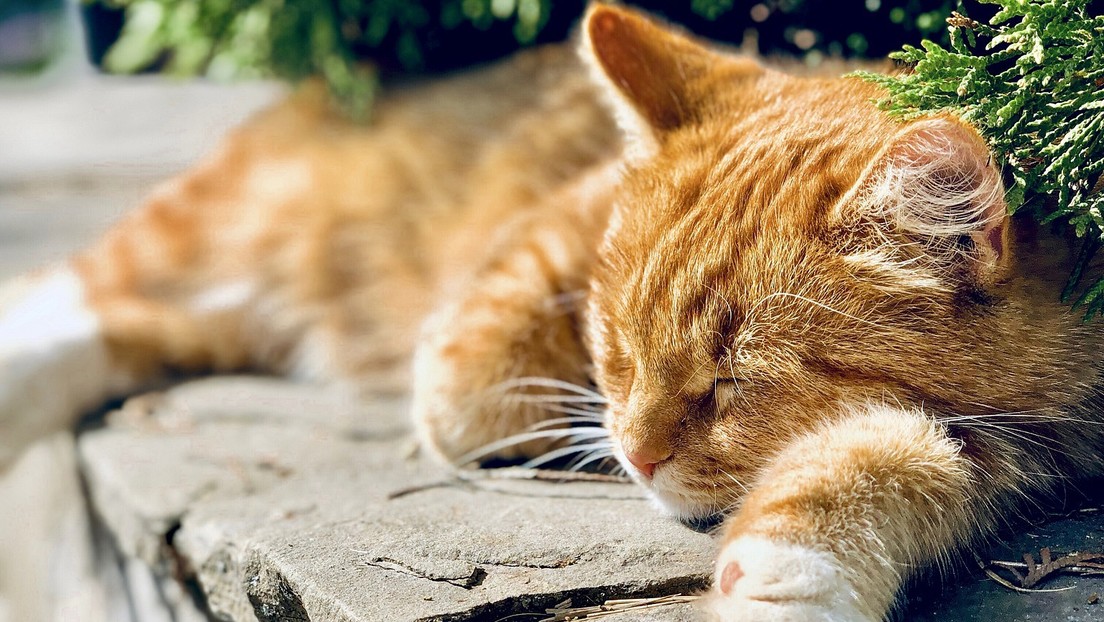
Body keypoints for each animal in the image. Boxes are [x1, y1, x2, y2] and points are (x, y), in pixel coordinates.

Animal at [2, 4, 1104, 622]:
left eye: (736, 382)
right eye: (613, 344)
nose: (637, 456)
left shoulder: (1002, 448)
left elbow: (879, 464)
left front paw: (791, 579)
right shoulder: (550, 232)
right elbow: (460, 383)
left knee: (130, 327)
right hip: (219, 230)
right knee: (69, 291)